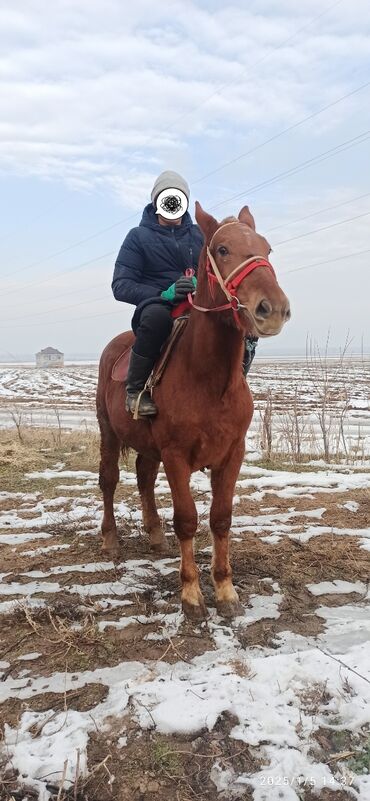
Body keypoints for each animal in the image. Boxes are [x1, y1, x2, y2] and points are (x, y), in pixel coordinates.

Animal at [97, 200, 290, 620]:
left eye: (266, 249)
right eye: (222, 249)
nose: (273, 309)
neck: (209, 381)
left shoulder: (232, 455)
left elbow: (221, 519)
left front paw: (225, 589)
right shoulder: (176, 456)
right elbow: (187, 520)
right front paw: (190, 594)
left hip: (147, 446)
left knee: (144, 477)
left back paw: (155, 535)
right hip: (109, 432)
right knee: (109, 480)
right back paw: (110, 539)